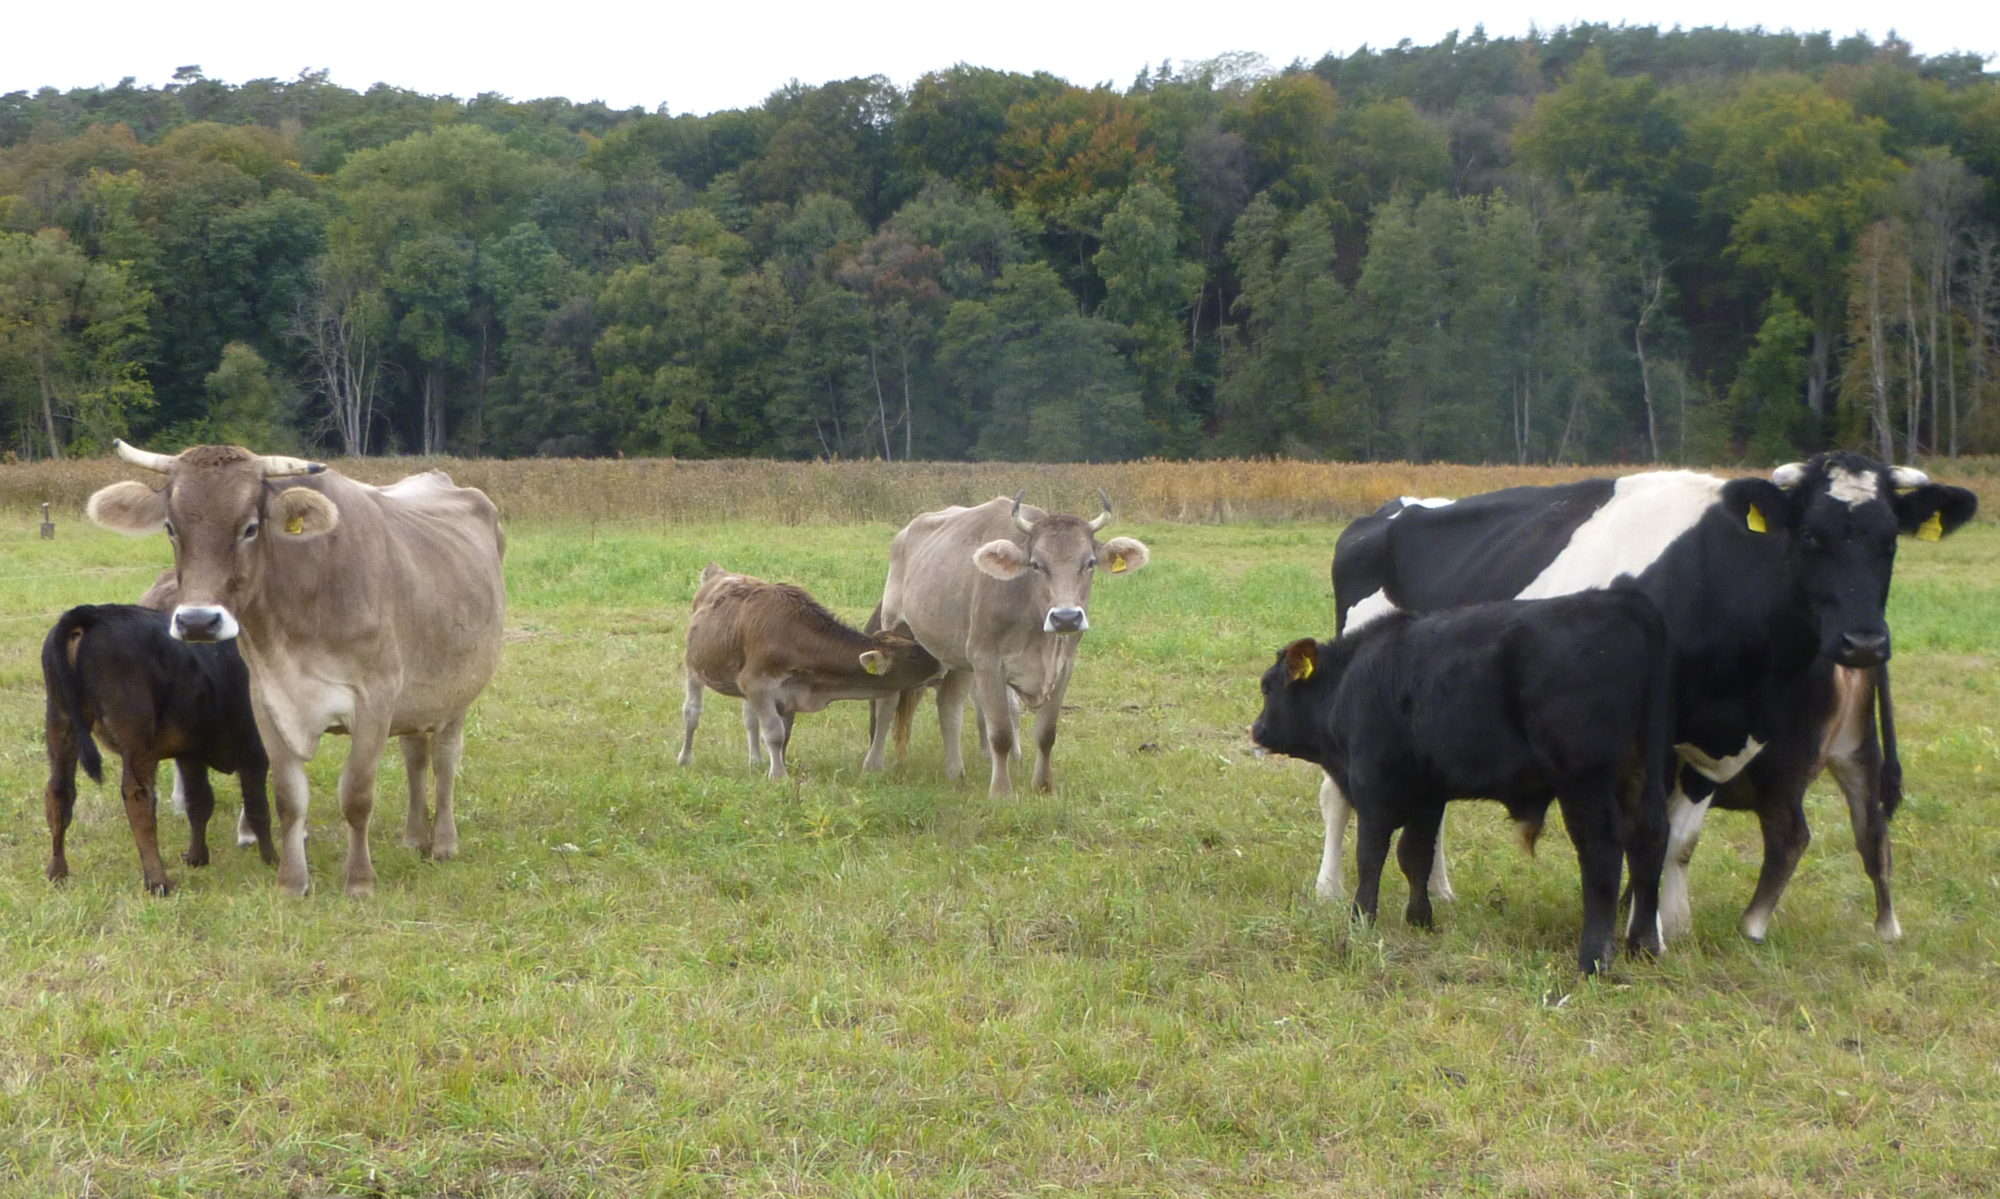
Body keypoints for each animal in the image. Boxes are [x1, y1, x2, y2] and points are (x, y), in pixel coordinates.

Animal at [88, 437, 508, 891]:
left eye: (250, 528)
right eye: (170, 527)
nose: (198, 621)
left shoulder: (374, 701)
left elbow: (357, 796)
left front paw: (359, 881)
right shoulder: (269, 701)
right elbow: (289, 798)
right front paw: (292, 882)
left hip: (456, 691)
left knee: (445, 761)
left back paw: (443, 842)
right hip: (416, 697)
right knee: (415, 755)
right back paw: (414, 837)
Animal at [680, 563, 944, 779]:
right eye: (912, 654)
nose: (941, 662)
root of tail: (718, 573)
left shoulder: (785, 694)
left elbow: (783, 734)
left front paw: (777, 766)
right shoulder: (755, 683)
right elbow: (774, 733)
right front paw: (779, 776)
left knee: (750, 720)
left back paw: (755, 761)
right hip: (694, 667)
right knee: (692, 712)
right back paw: (685, 758)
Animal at [1248, 591, 1672, 975]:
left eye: (1268, 687)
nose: (1257, 730)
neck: (1349, 681)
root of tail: (1620, 602)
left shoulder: (1373, 790)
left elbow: (1371, 855)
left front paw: (1361, 918)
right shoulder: (1427, 796)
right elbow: (1415, 856)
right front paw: (1420, 918)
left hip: (1585, 781)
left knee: (1602, 854)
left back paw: (1593, 960)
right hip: (1644, 771)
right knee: (1650, 839)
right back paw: (1644, 946)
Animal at [1320, 451, 1976, 947]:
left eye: (1889, 542)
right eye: (1811, 536)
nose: (1863, 642)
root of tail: (1392, 511)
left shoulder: (1713, 738)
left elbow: (1679, 841)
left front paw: (1666, 925)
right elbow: (1646, 834)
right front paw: (1644, 931)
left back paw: (1440, 888)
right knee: (1338, 793)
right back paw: (1329, 888)